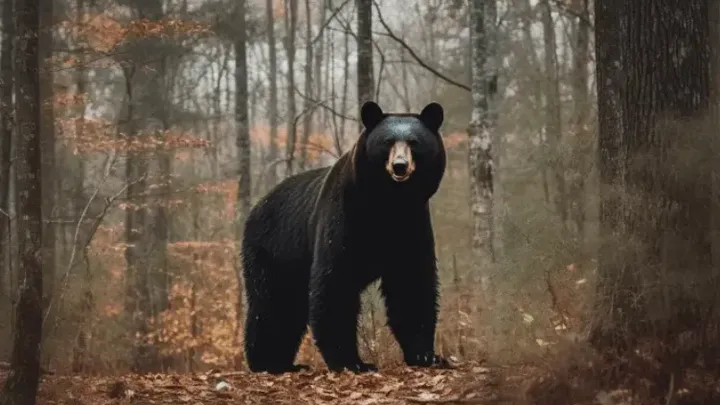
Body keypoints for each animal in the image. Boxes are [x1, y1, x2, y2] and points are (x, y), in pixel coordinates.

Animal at [241, 101, 449, 374]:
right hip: (274, 251)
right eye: (388, 141)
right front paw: (353, 362)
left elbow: (411, 282)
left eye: (414, 142)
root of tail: (256, 207)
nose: (400, 166)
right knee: (272, 304)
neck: (389, 203)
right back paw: (267, 362)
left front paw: (426, 355)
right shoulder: (344, 217)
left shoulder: (411, 225)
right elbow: (336, 282)